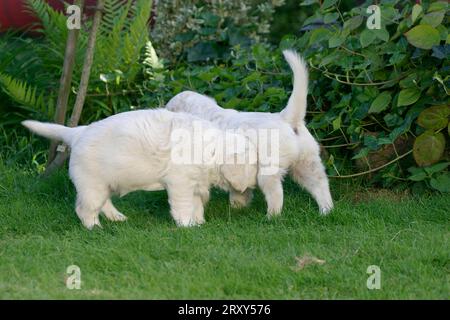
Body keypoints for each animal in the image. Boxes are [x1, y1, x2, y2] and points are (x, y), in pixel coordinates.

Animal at [22, 109, 256, 229]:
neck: (211, 148)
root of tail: (77, 133)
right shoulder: (180, 183)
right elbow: (183, 206)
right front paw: (186, 225)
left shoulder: (196, 184)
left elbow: (197, 204)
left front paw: (198, 222)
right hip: (92, 185)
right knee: (85, 209)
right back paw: (95, 227)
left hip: (101, 184)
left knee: (104, 204)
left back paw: (118, 218)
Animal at [167, 49, 332, 215]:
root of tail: (286, 118)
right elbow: (239, 190)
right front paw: (237, 207)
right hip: (307, 162)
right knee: (320, 184)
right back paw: (326, 211)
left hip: (269, 170)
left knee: (276, 193)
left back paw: (272, 216)